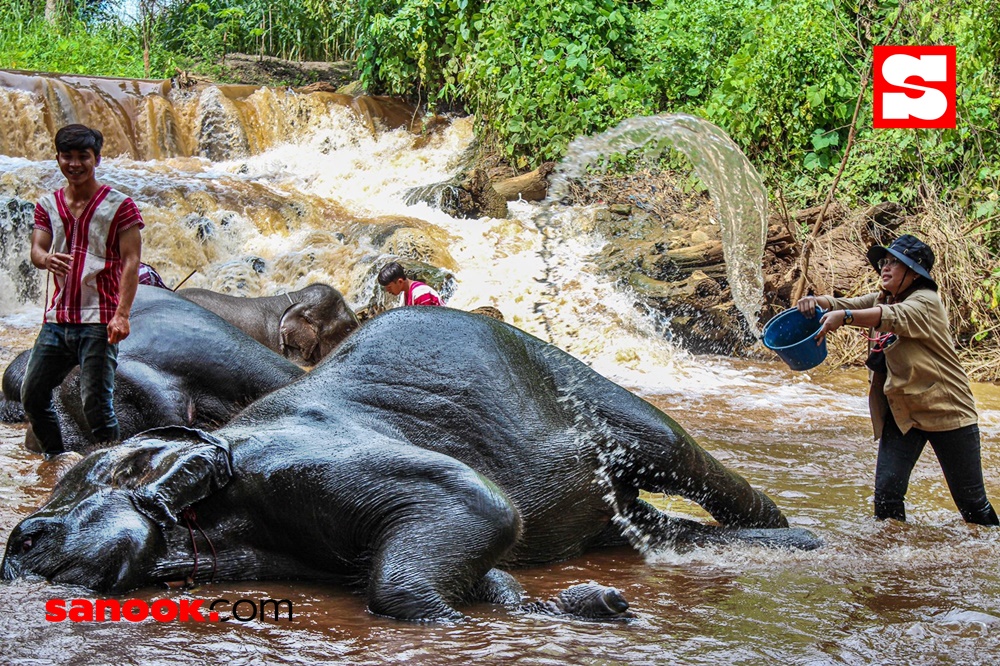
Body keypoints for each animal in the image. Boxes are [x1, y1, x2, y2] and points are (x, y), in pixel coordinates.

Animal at [1, 304, 820, 620]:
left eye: (31, 537)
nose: (19, 548)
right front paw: (553, 602)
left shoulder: (293, 462)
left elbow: (478, 504)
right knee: (643, 522)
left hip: (579, 381)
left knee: (673, 451)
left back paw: (804, 541)